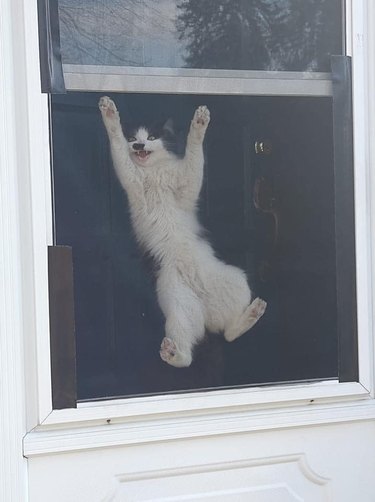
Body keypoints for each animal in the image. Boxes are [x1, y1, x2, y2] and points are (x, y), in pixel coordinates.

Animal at [98, 96, 266, 366]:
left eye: (152, 137)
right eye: (133, 137)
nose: (139, 145)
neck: (153, 171)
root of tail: (206, 314)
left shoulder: (187, 185)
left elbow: (194, 155)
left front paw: (199, 122)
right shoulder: (131, 180)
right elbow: (117, 145)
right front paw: (109, 113)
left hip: (236, 280)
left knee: (229, 332)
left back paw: (251, 313)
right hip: (178, 308)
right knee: (197, 349)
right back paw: (174, 354)